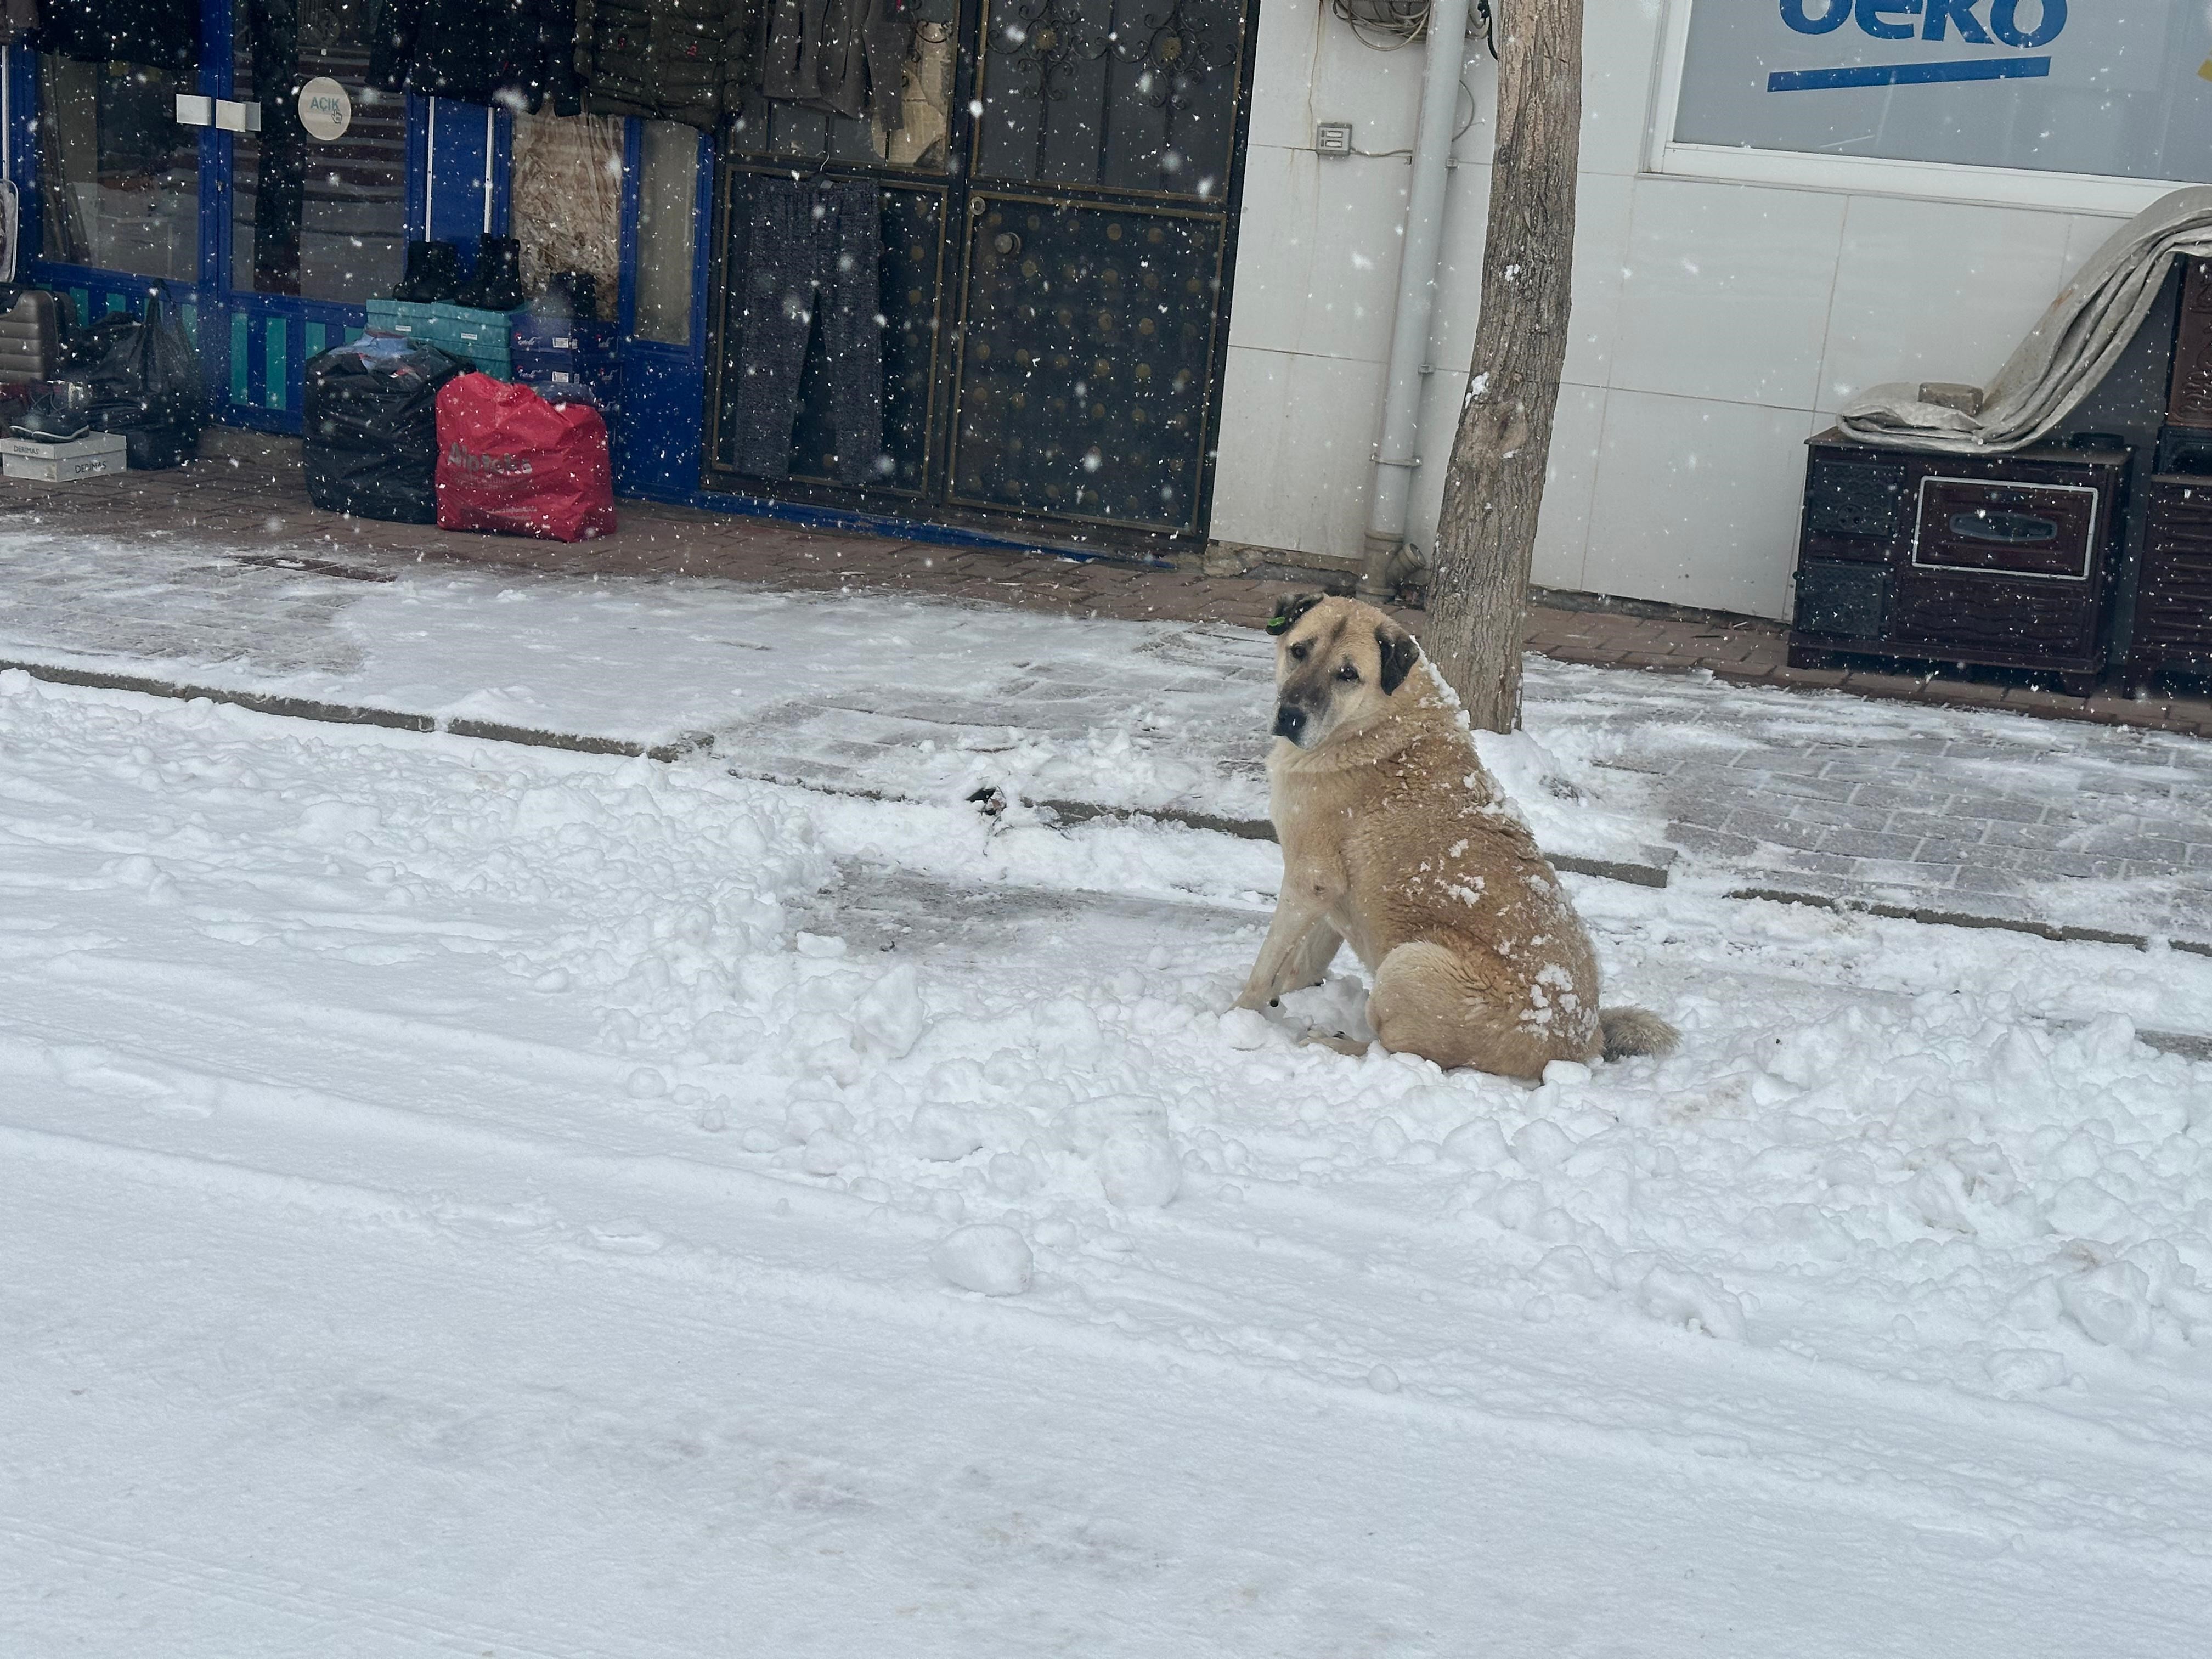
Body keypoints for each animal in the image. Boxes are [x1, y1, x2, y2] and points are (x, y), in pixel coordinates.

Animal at [1229, 592, 1672, 1084]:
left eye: (1347, 674)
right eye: (1299, 651)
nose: (1290, 717)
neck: (1376, 720)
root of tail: (1583, 1044)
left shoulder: (1308, 878)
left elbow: (1266, 964)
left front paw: (1236, 1016)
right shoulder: (1332, 894)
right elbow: (1302, 964)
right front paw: (1285, 997)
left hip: (1408, 963)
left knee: (1400, 1055)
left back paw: (1331, 1043)